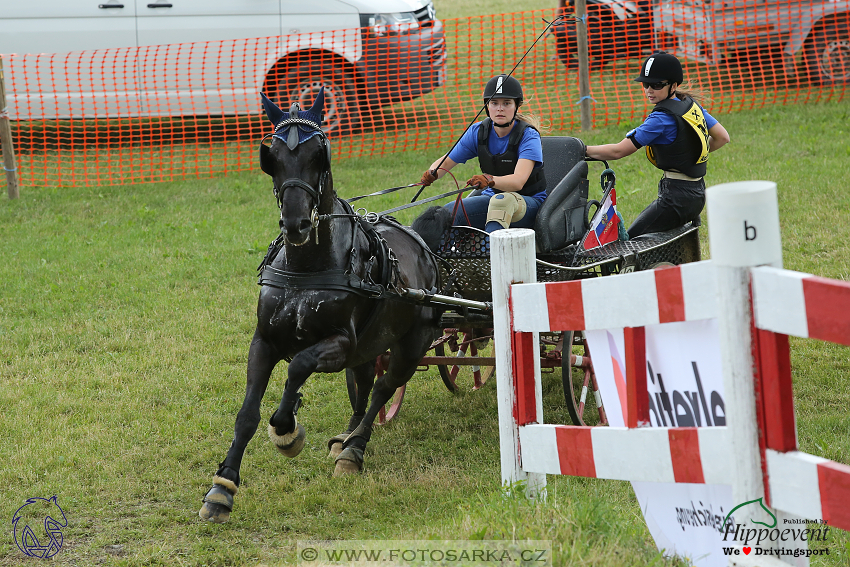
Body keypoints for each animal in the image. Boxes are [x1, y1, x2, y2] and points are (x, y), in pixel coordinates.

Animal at [200, 87, 450, 524]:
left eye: (320, 153)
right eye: (271, 157)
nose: (296, 224)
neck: (307, 266)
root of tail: (421, 244)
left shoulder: (339, 343)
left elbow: (297, 367)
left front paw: (287, 431)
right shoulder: (263, 341)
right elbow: (247, 414)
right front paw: (222, 487)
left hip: (411, 344)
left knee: (383, 389)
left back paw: (353, 450)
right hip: (369, 345)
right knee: (364, 385)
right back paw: (345, 437)